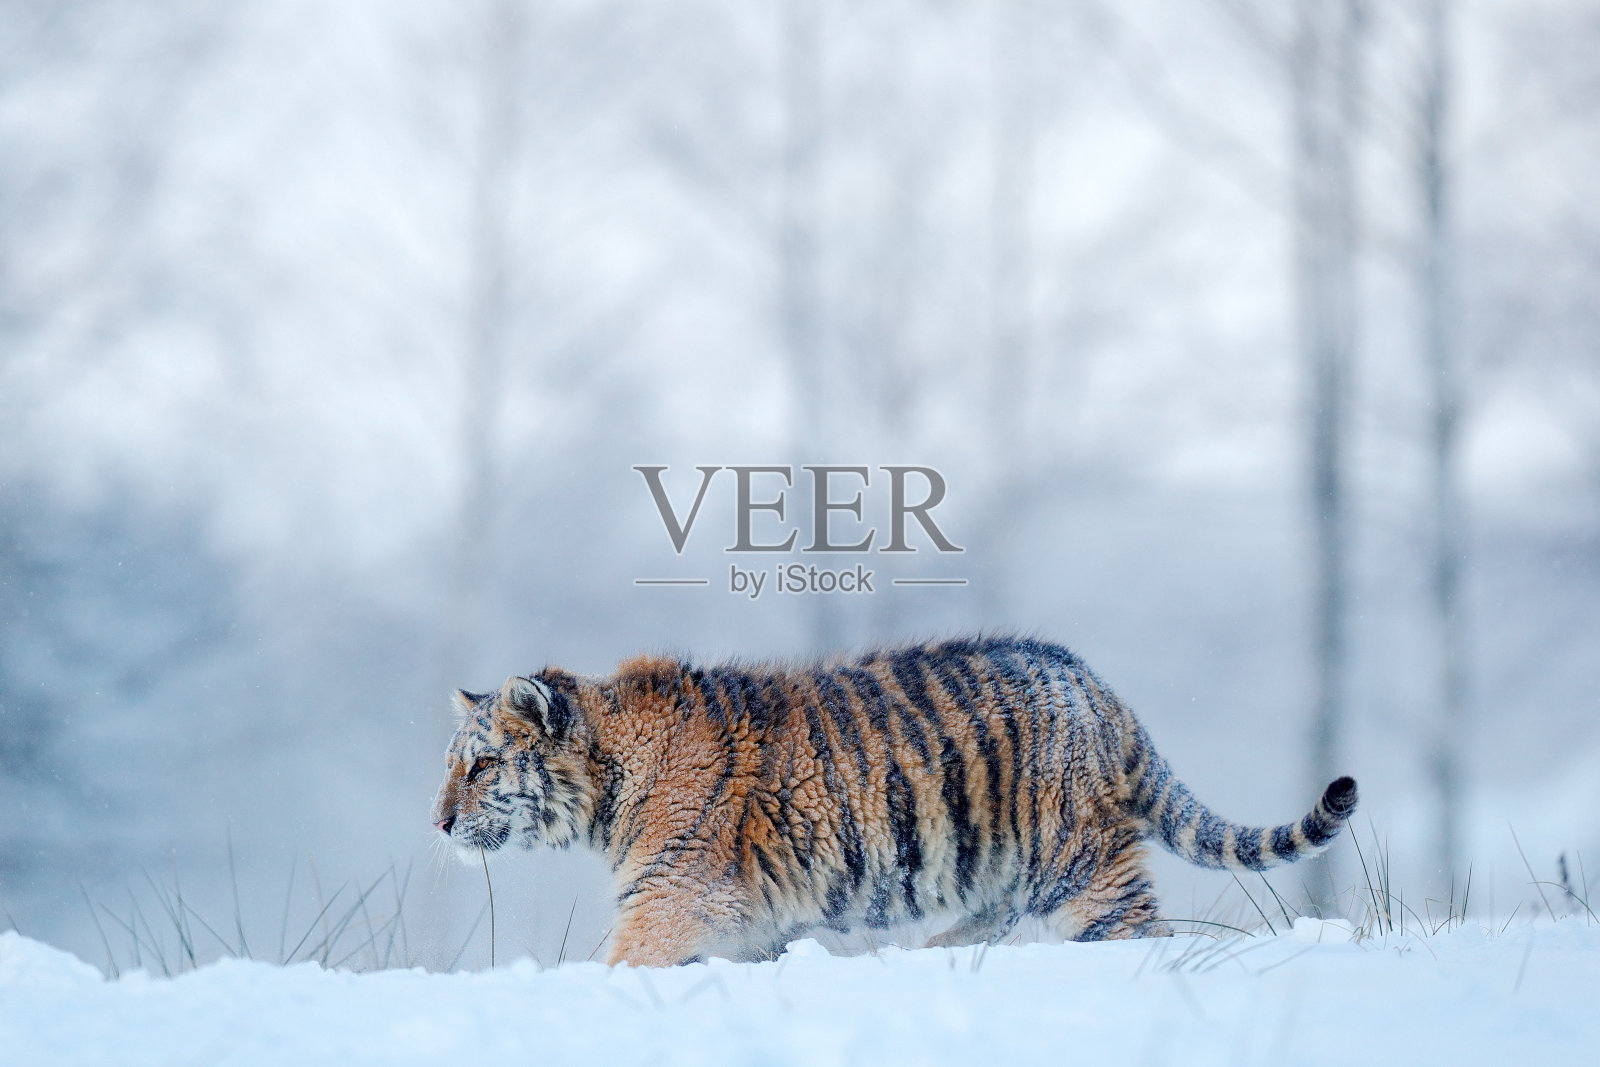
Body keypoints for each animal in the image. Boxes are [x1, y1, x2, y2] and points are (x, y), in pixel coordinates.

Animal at [429, 635, 1358, 967]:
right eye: (453, 764)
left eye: (480, 766)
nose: (436, 822)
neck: (606, 781)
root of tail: (1095, 684)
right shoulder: (745, 921)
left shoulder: (667, 899)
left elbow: (617, 965)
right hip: (1005, 863)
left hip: (1082, 864)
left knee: (1136, 935)